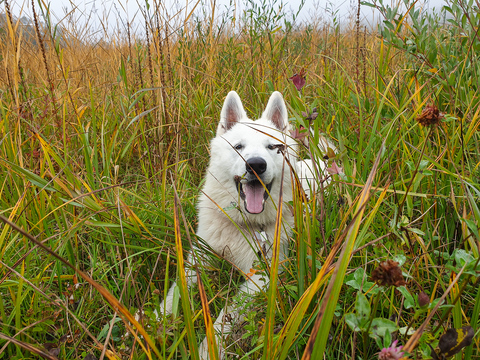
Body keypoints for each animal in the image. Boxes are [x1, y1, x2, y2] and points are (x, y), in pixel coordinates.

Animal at [159, 91, 332, 358]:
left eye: (272, 147)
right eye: (238, 147)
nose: (256, 165)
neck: (243, 224)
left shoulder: (261, 278)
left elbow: (225, 316)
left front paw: (208, 349)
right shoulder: (198, 260)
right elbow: (174, 296)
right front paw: (146, 325)